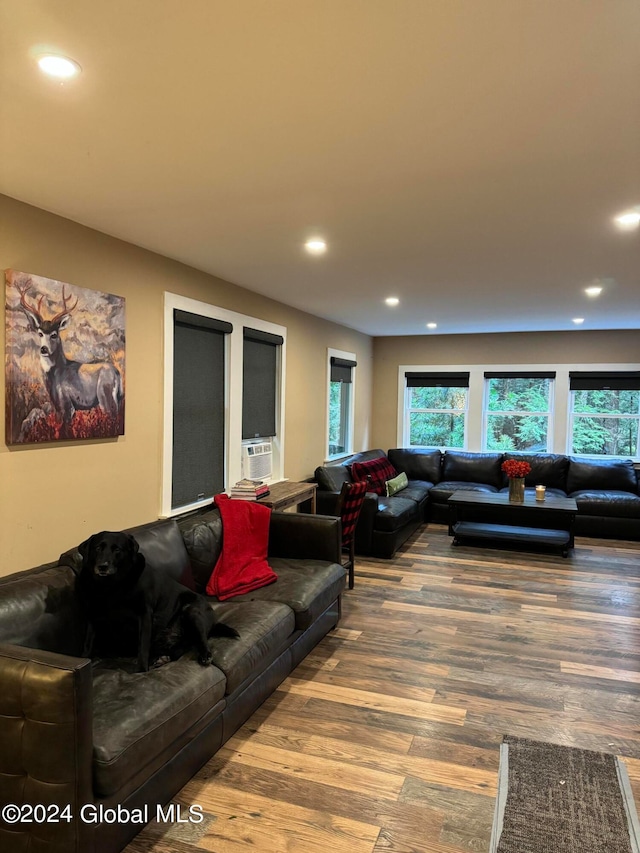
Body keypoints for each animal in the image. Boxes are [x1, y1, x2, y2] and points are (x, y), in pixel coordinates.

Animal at [75, 528, 240, 668]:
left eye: (117, 550)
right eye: (97, 548)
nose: (102, 566)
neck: (110, 587)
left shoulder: (145, 615)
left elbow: (142, 648)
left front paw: (141, 670)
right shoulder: (92, 615)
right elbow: (87, 644)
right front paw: (84, 660)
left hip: (192, 611)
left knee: (200, 639)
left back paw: (204, 655)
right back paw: (162, 658)